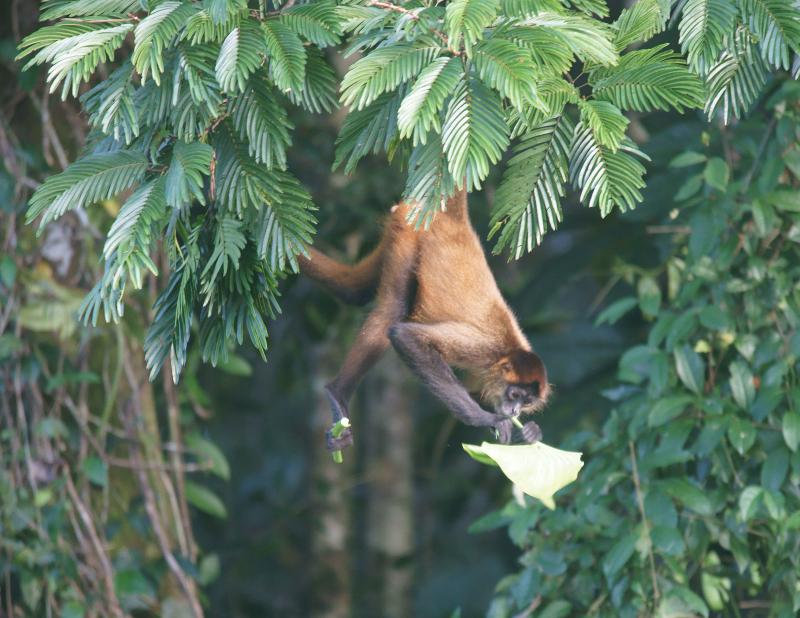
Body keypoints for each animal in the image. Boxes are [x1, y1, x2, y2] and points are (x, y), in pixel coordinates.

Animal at [299, 188, 549, 453]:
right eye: (515, 395)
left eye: (527, 401)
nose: (515, 411)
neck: (511, 349)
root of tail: (455, 220)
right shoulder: (484, 348)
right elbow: (405, 336)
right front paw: (486, 418)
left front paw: (532, 432)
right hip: (410, 229)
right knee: (392, 308)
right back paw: (337, 394)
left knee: (353, 290)